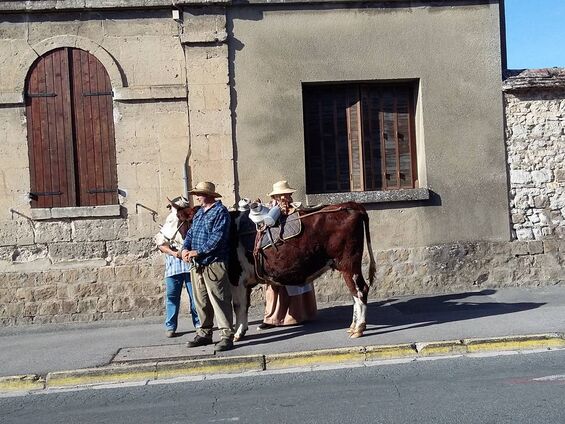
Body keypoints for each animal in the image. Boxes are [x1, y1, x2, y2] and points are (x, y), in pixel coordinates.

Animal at [172, 201, 374, 342]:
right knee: (355, 294)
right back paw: (352, 326)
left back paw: (359, 328)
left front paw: (236, 334)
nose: (166, 242)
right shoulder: (244, 282)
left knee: (360, 291)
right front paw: (242, 331)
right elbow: (244, 306)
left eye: (175, 220)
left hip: (349, 264)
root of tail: (350, 206)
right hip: (346, 266)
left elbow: (238, 306)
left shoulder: (236, 277)